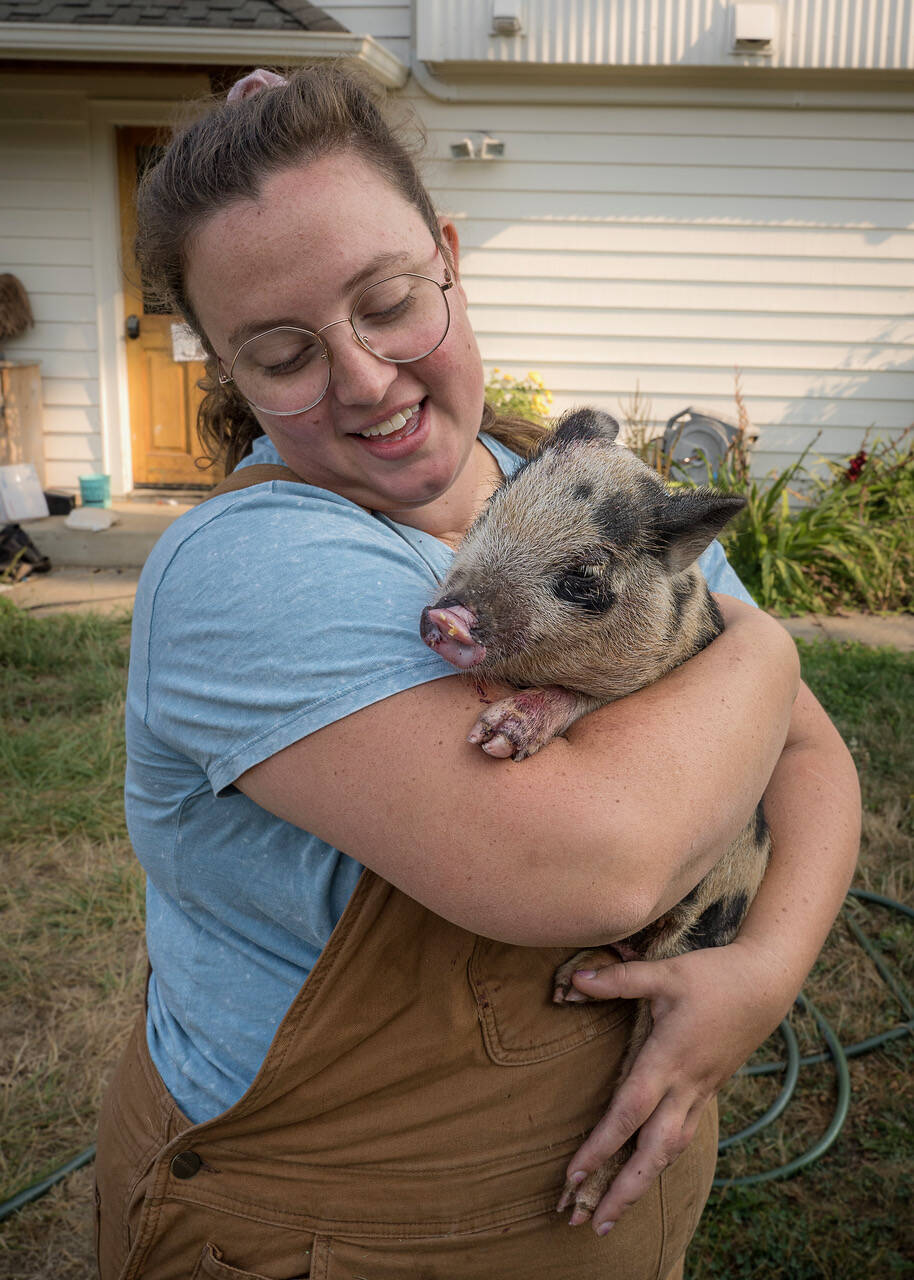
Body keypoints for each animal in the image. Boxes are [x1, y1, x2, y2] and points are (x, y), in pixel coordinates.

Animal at [420, 407, 770, 1222]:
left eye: (582, 577)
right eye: (491, 510)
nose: (446, 618)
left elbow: (580, 700)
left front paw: (495, 739)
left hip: (699, 925)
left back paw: (580, 1206)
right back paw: (570, 984)